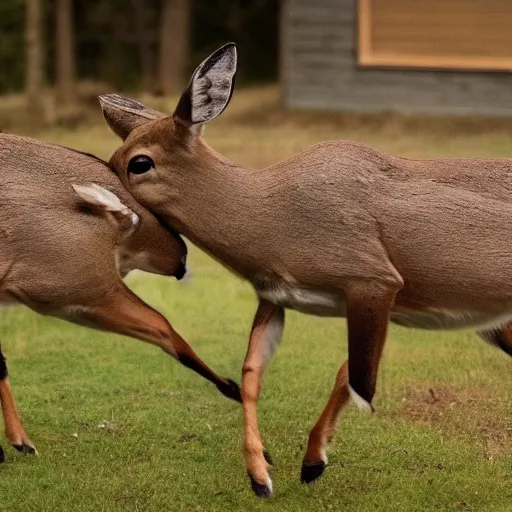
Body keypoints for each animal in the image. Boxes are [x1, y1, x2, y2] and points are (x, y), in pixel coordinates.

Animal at [99, 44, 512, 496]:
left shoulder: (372, 276)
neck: (270, 216)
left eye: (139, 163)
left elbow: (356, 377)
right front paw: (262, 473)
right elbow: (252, 373)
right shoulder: (275, 295)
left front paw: (312, 460)